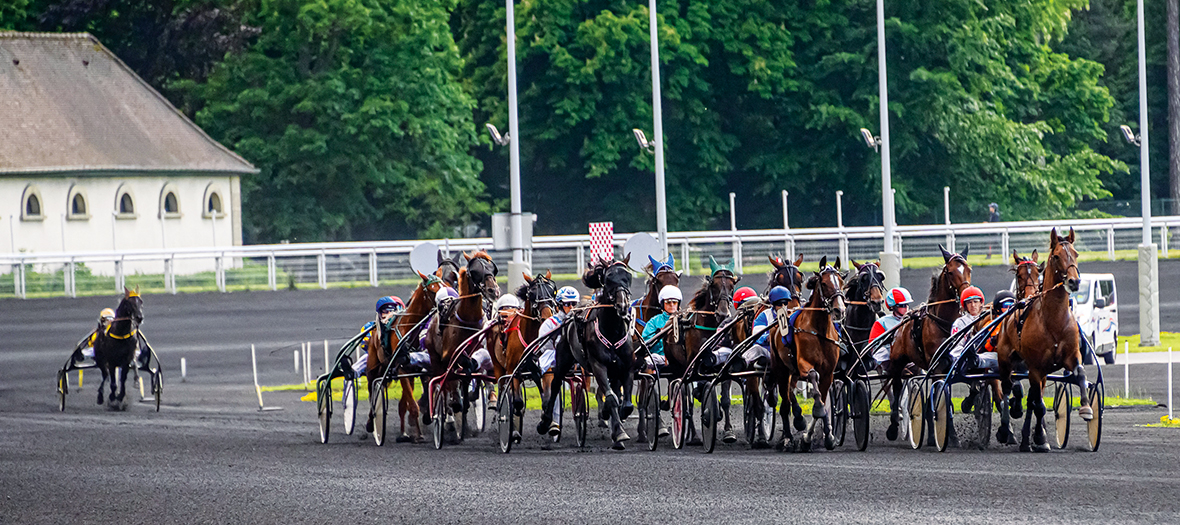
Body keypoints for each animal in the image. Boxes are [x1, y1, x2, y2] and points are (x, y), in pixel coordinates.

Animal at [361, 270, 443, 441]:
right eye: (432, 290)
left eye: (444, 284)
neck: (409, 328)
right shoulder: (402, 370)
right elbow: (413, 405)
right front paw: (418, 435)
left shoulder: (420, 368)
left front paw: (425, 419)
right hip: (373, 369)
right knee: (372, 393)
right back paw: (371, 423)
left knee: (401, 404)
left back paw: (403, 433)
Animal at [542, 252, 637, 445]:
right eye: (609, 278)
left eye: (628, 276)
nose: (623, 305)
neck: (612, 331)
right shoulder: (598, 365)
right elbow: (611, 398)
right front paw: (618, 431)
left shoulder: (627, 366)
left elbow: (626, 404)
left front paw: (617, 419)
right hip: (563, 357)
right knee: (555, 385)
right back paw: (546, 421)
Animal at [764, 256, 849, 448]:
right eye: (824, 283)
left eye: (841, 282)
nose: (839, 310)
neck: (819, 331)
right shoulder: (803, 365)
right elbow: (813, 379)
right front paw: (812, 417)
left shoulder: (828, 373)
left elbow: (823, 400)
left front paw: (825, 435)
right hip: (781, 370)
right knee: (785, 403)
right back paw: (788, 436)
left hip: (792, 372)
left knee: (790, 393)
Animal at [882, 244, 972, 441]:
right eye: (951, 272)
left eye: (969, 269)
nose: (966, 294)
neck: (944, 323)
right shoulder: (937, 367)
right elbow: (941, 396)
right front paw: (948, 433)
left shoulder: (950, 364)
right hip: (897, 361)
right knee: (897, 387)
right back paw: (893, 426)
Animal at [995, 227, 1095, 453]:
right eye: (1056, 256)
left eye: (1075, 253)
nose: (1074, 281)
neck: (1053, 319)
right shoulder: (1035, 367)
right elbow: (1039, 405)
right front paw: (1039, 437)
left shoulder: (1070, 356)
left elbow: (1081, 373)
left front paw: (1086, 408)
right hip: (1005, 359)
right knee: (1006, 387)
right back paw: (1006, 430)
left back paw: (1027, 439)